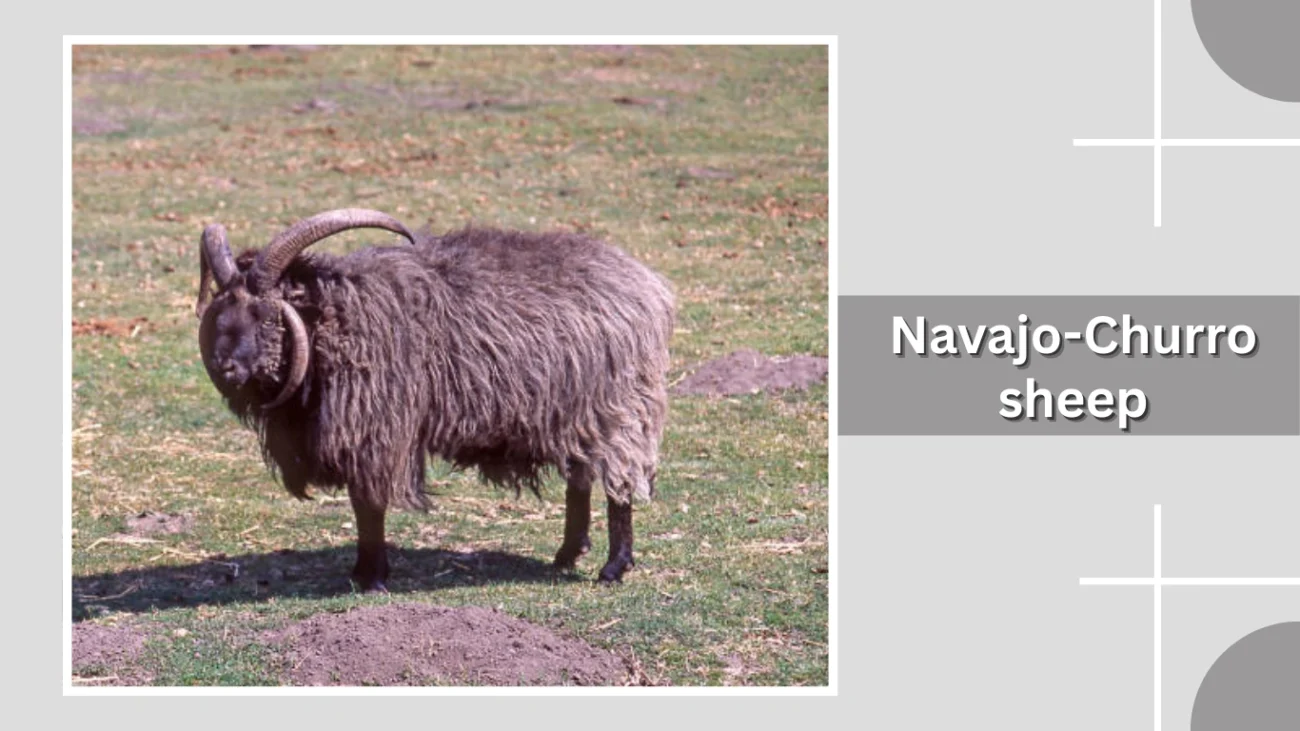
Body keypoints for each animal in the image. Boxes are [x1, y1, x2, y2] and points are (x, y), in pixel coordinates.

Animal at [195, 208, 675, 591]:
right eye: (221, 311)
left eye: (265, 315)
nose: (225, 368)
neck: (333, 321)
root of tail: (648, 286)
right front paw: (362, 573)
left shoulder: (375, 430)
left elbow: (368, 505)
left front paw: (372, 578)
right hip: (574, 413)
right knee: (581, 478)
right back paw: (567, 554)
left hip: (617, 408)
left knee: (618, 484)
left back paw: (613, 568)